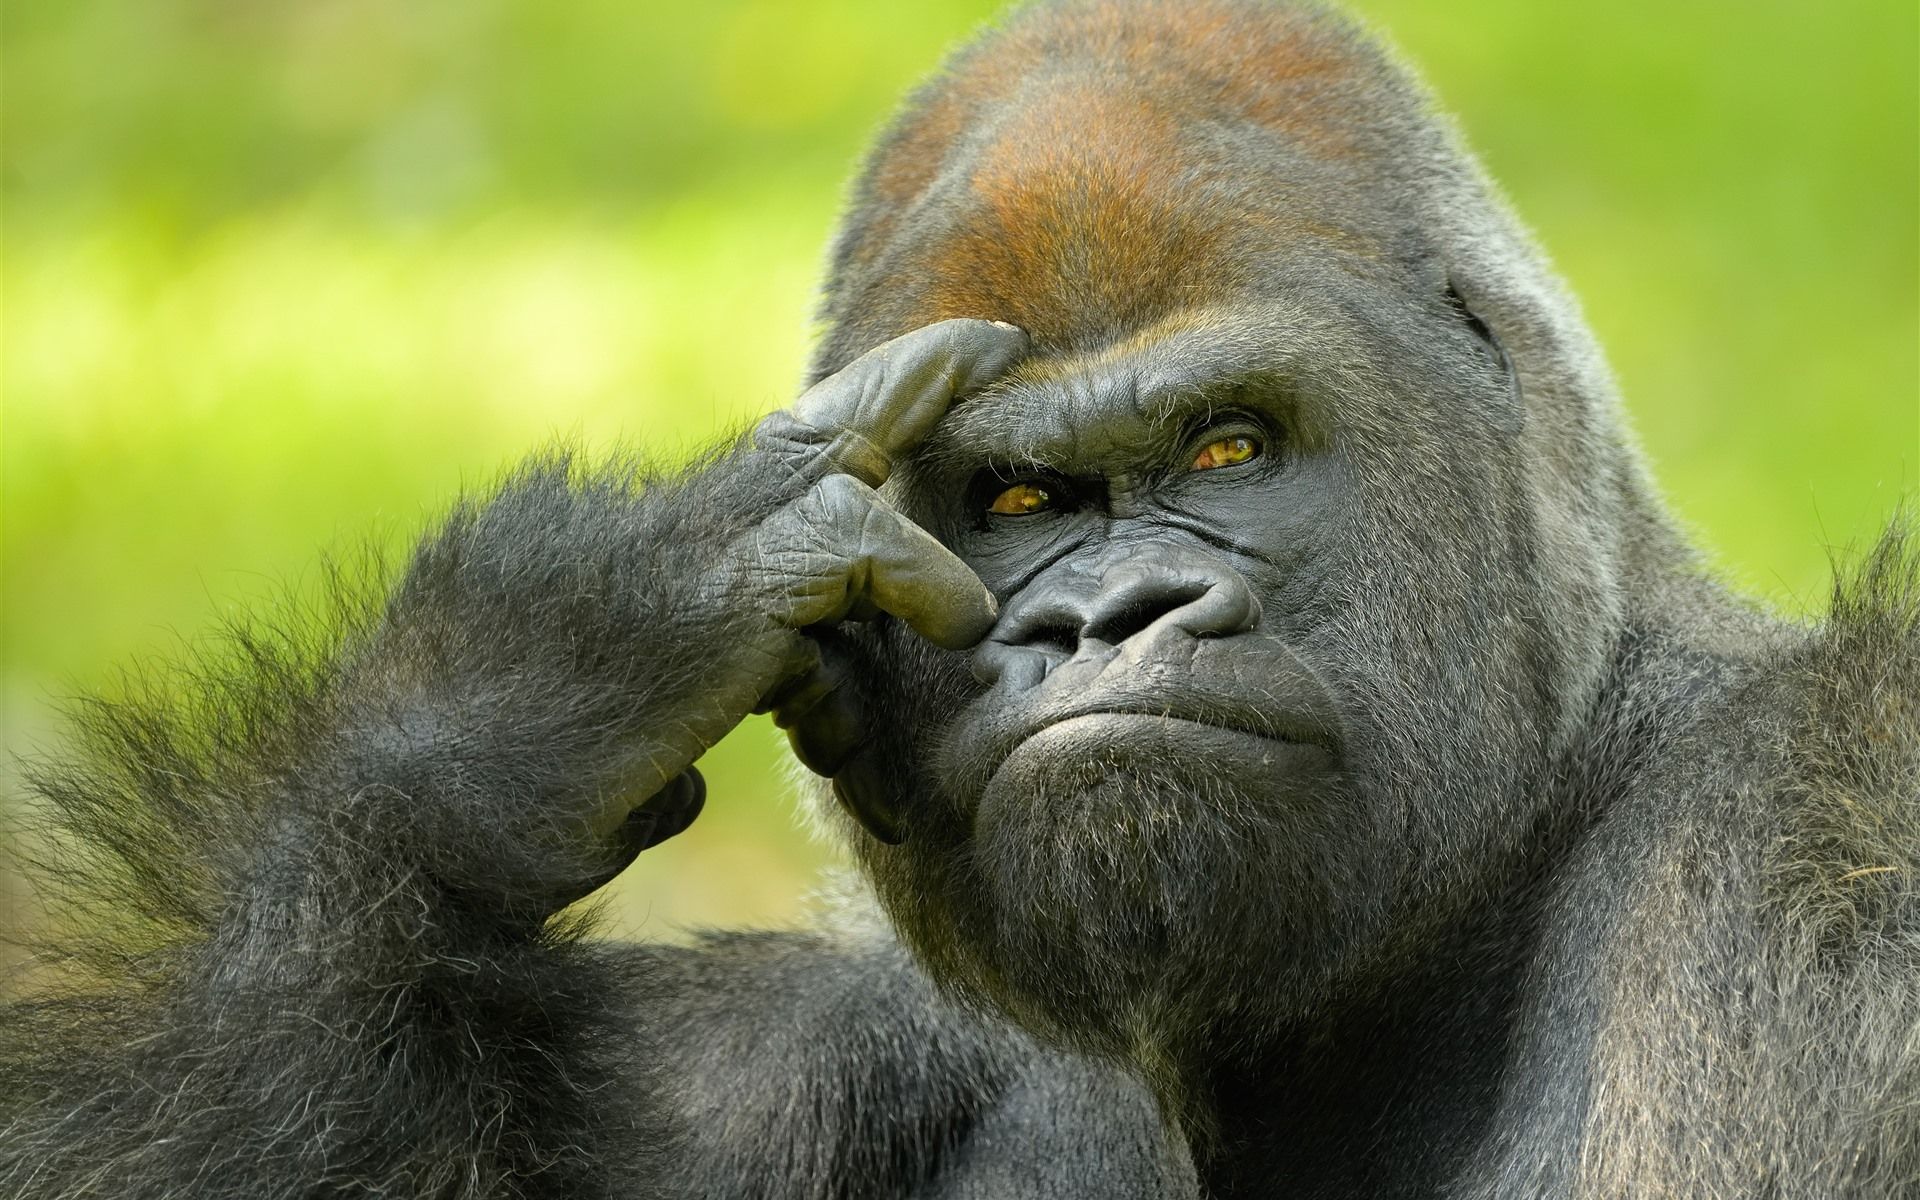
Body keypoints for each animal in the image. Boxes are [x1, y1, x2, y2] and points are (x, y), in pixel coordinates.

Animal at [3, 2, 1914, 1197]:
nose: (1104, 620)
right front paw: (507, 707)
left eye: (1230, 448)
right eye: (1013, 505)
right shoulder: (781, 1058)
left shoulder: (1815, 833)